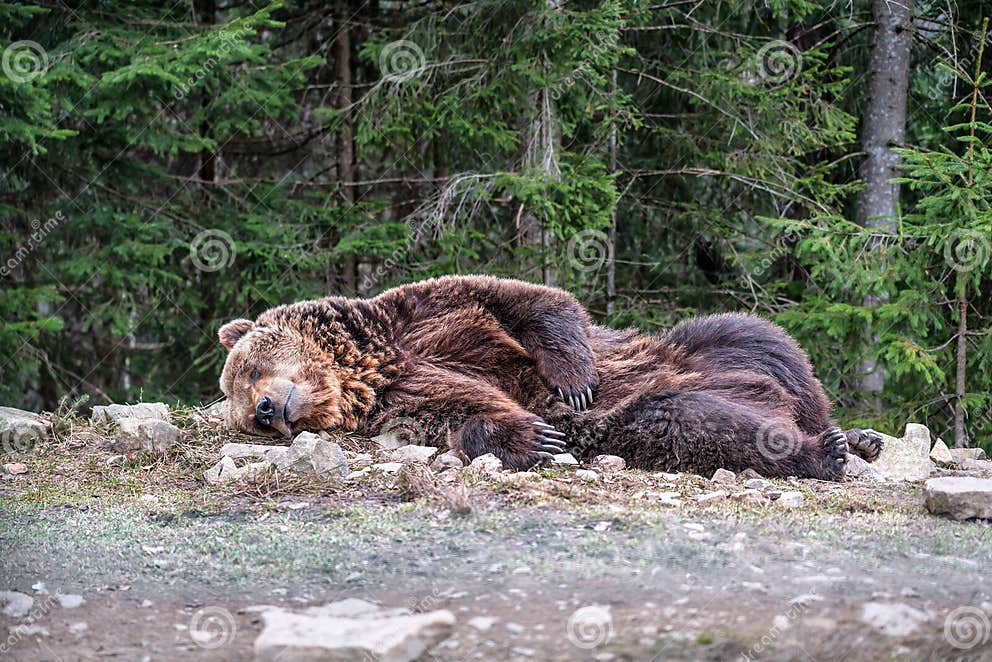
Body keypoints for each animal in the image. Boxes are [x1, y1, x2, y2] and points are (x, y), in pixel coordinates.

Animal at [217, 275, 882, 479]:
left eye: (250, 369)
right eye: (241, 407)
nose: (266, 411)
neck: (371, 363)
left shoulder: (425, 312)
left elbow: (532, 302)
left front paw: (573, 378)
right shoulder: (404, 398)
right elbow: (462, 412)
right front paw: (534, 437)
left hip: (705, 347)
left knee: (766, 343)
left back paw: (849, 438)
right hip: (645, 414)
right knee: (691, 419)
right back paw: (822, 449)